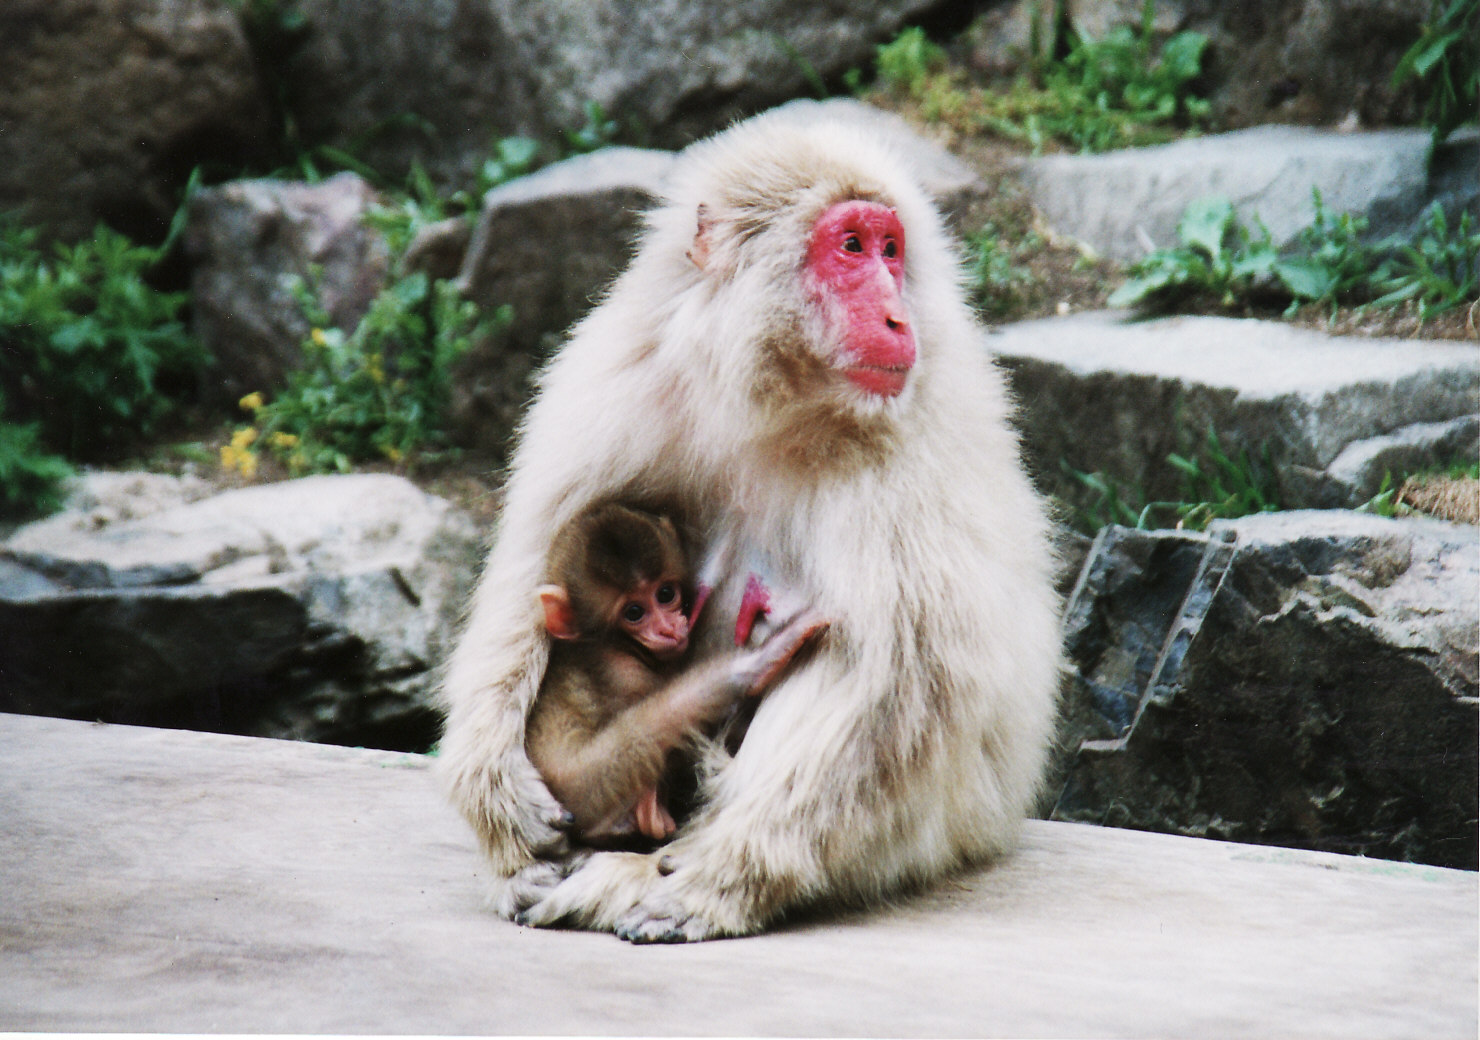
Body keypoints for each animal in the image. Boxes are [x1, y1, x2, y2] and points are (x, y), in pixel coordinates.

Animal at [523, 500, 828, 852]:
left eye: (666, 594)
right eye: (634, 613)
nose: (669, 628)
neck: (613, 645)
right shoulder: (623, 673)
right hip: (582, 788)